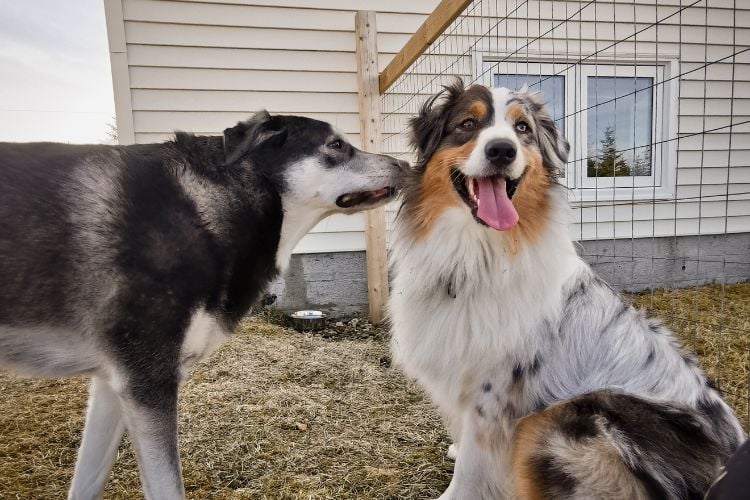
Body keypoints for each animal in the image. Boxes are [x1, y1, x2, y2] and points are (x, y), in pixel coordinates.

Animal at [0, 112, 406, 500]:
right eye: (336, 144)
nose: (403, 164)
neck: (204, 211)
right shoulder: (148, 384)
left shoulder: (111, 385)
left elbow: (87, 482)